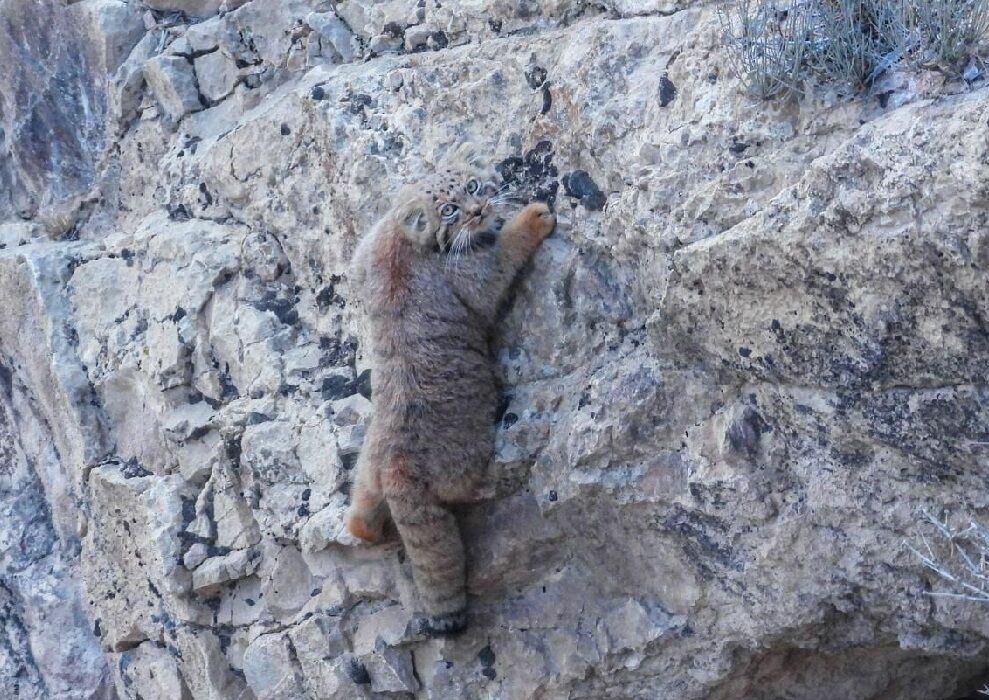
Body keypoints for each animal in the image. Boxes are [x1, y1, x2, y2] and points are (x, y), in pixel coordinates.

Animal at [344, 152, 552, 636]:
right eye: (451, 211)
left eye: (471, 187)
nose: (480, 210)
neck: (407, 240)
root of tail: (397, 465)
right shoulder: (473, 276)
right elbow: (501, 260)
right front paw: (530, 219)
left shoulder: (367, 249)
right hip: (464, 459)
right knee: (465, 489)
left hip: (367, 467)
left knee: (360, 513)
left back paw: (367, 527)